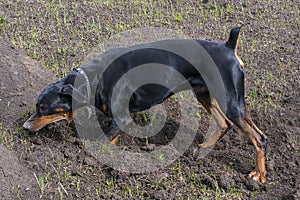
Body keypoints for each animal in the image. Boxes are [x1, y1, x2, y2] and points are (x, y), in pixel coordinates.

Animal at [23, 26, 268, 183]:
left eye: (42, 107)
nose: (25, 126)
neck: (92, 79)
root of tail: (228, 47)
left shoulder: (120, 118)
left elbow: (101, 143)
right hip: (205, 94)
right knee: (225, 124)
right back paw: (202, 150)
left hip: (231, 101)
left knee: (259, 138)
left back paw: (258, 175)